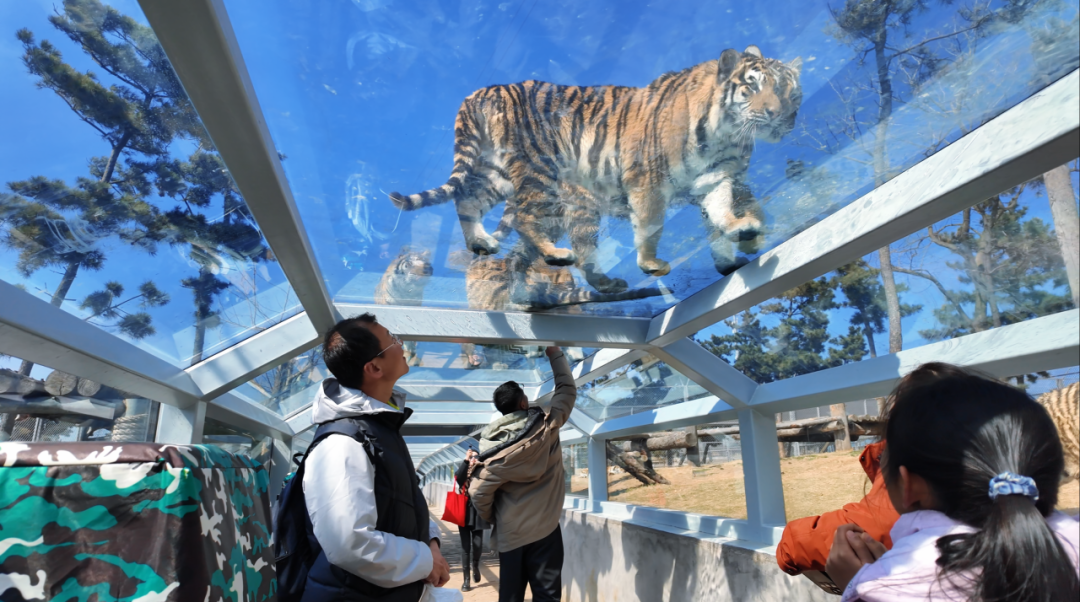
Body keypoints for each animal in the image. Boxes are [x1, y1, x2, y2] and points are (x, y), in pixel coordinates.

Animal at [390, 45, 802, 284]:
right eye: (752, 86)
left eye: (789, 90)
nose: (780, 115)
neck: (727, 134)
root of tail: (482, 90)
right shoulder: (647, 180)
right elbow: (650, 226)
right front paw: (650, 263)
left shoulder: (714, 179)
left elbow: (720, 209)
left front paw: (740, 230)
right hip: (539, 167)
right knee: (523, 216)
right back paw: (555, 254)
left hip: (497, 172)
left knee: (466, 200)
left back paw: (481, 242)